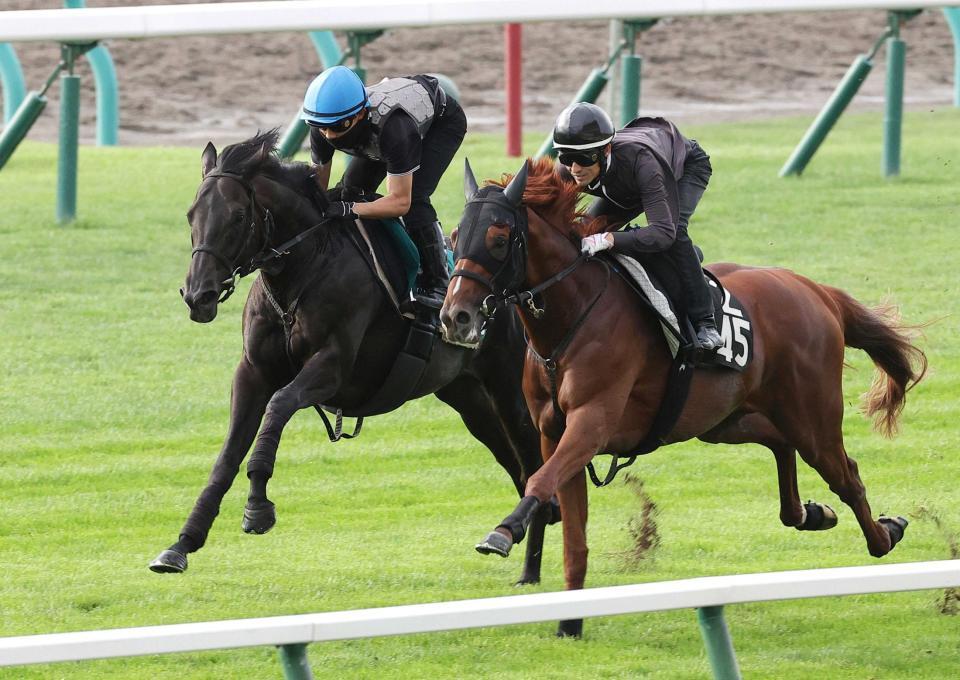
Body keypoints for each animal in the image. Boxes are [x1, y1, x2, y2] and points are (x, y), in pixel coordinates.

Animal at [150, 130, 556, 580]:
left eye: (238, 217)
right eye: (191, 214)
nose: (197, 295)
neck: (303, 269)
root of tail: (514, 289)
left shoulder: (333, 367)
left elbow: (279, 405)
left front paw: (257, 507)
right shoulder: (252, 372)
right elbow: (228, 454)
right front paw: (182, 543)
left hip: (509, 389)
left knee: (532, 459)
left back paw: (531, 562)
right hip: (470, 400)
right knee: (515, 464)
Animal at [438, 159, 928, 636]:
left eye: (499, 239)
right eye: (456, 237)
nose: (455, 317)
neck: (572, 317)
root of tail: (814, 290)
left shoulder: (591, 423)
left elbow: (539, 481)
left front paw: (503, 532)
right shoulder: (552, 432)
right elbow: (572, 534)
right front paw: (570, 622)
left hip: (813, 418)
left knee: (847, 475)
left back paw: (885, 534)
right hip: (724, 419)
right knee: (779, 443)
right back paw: (812, 514)